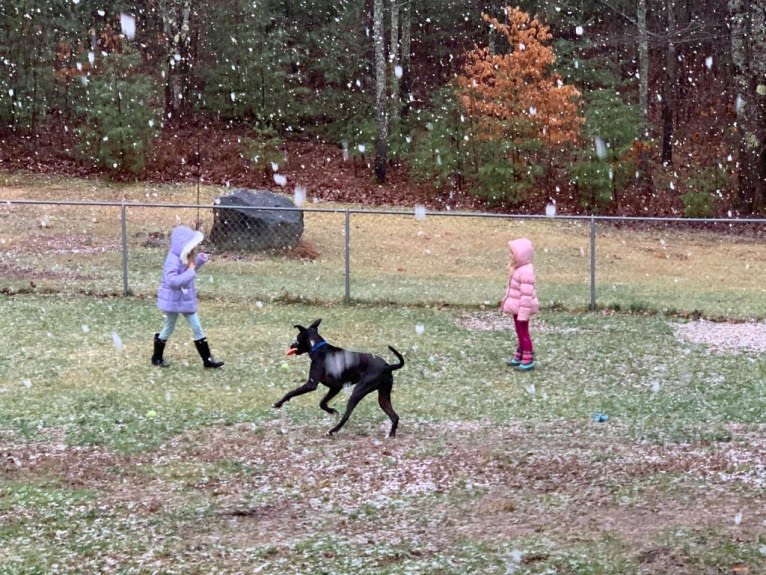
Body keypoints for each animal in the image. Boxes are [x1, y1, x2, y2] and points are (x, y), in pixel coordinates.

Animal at [276, 320, 408, 436]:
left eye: (297, 339)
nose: (291, 345)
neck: (317, 347)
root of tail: (387, 366)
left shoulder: (311, 384)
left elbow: (291, 392)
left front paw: (278, 403)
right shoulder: (335, 387)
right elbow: (322, 403)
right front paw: (332, 411)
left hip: (358, 392)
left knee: (346, 415)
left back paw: (332, 431)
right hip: (383, 396)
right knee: (394, 416)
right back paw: (391, 435)